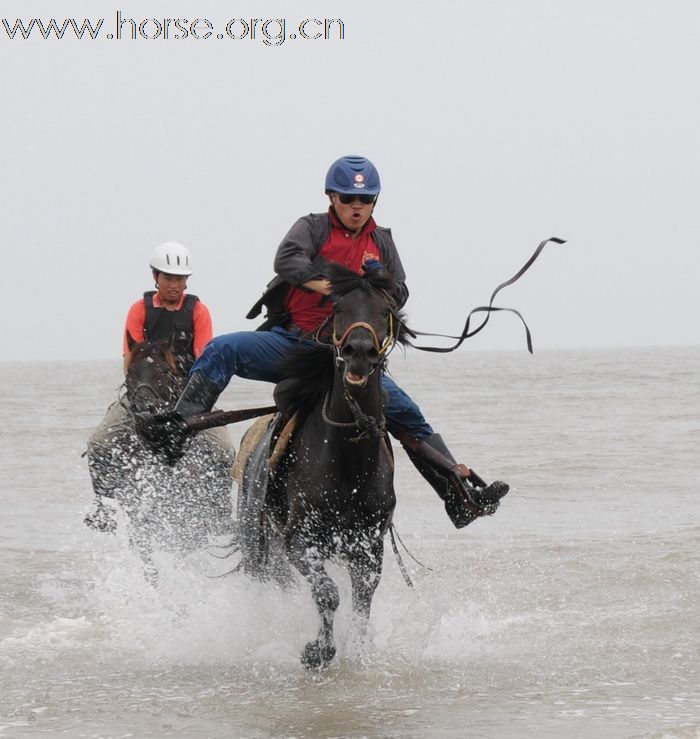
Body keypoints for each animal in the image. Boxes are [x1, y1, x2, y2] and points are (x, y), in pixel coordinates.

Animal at [239, 266, 408, 672]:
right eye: (338, 308)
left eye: (385, 310)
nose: (358, 352)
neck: (347, 458)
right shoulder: (300, 540)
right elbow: (328, 594)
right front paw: (318, 651)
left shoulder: (368, 546)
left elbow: (362, 602)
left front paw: (358, 650)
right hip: (258, 542)